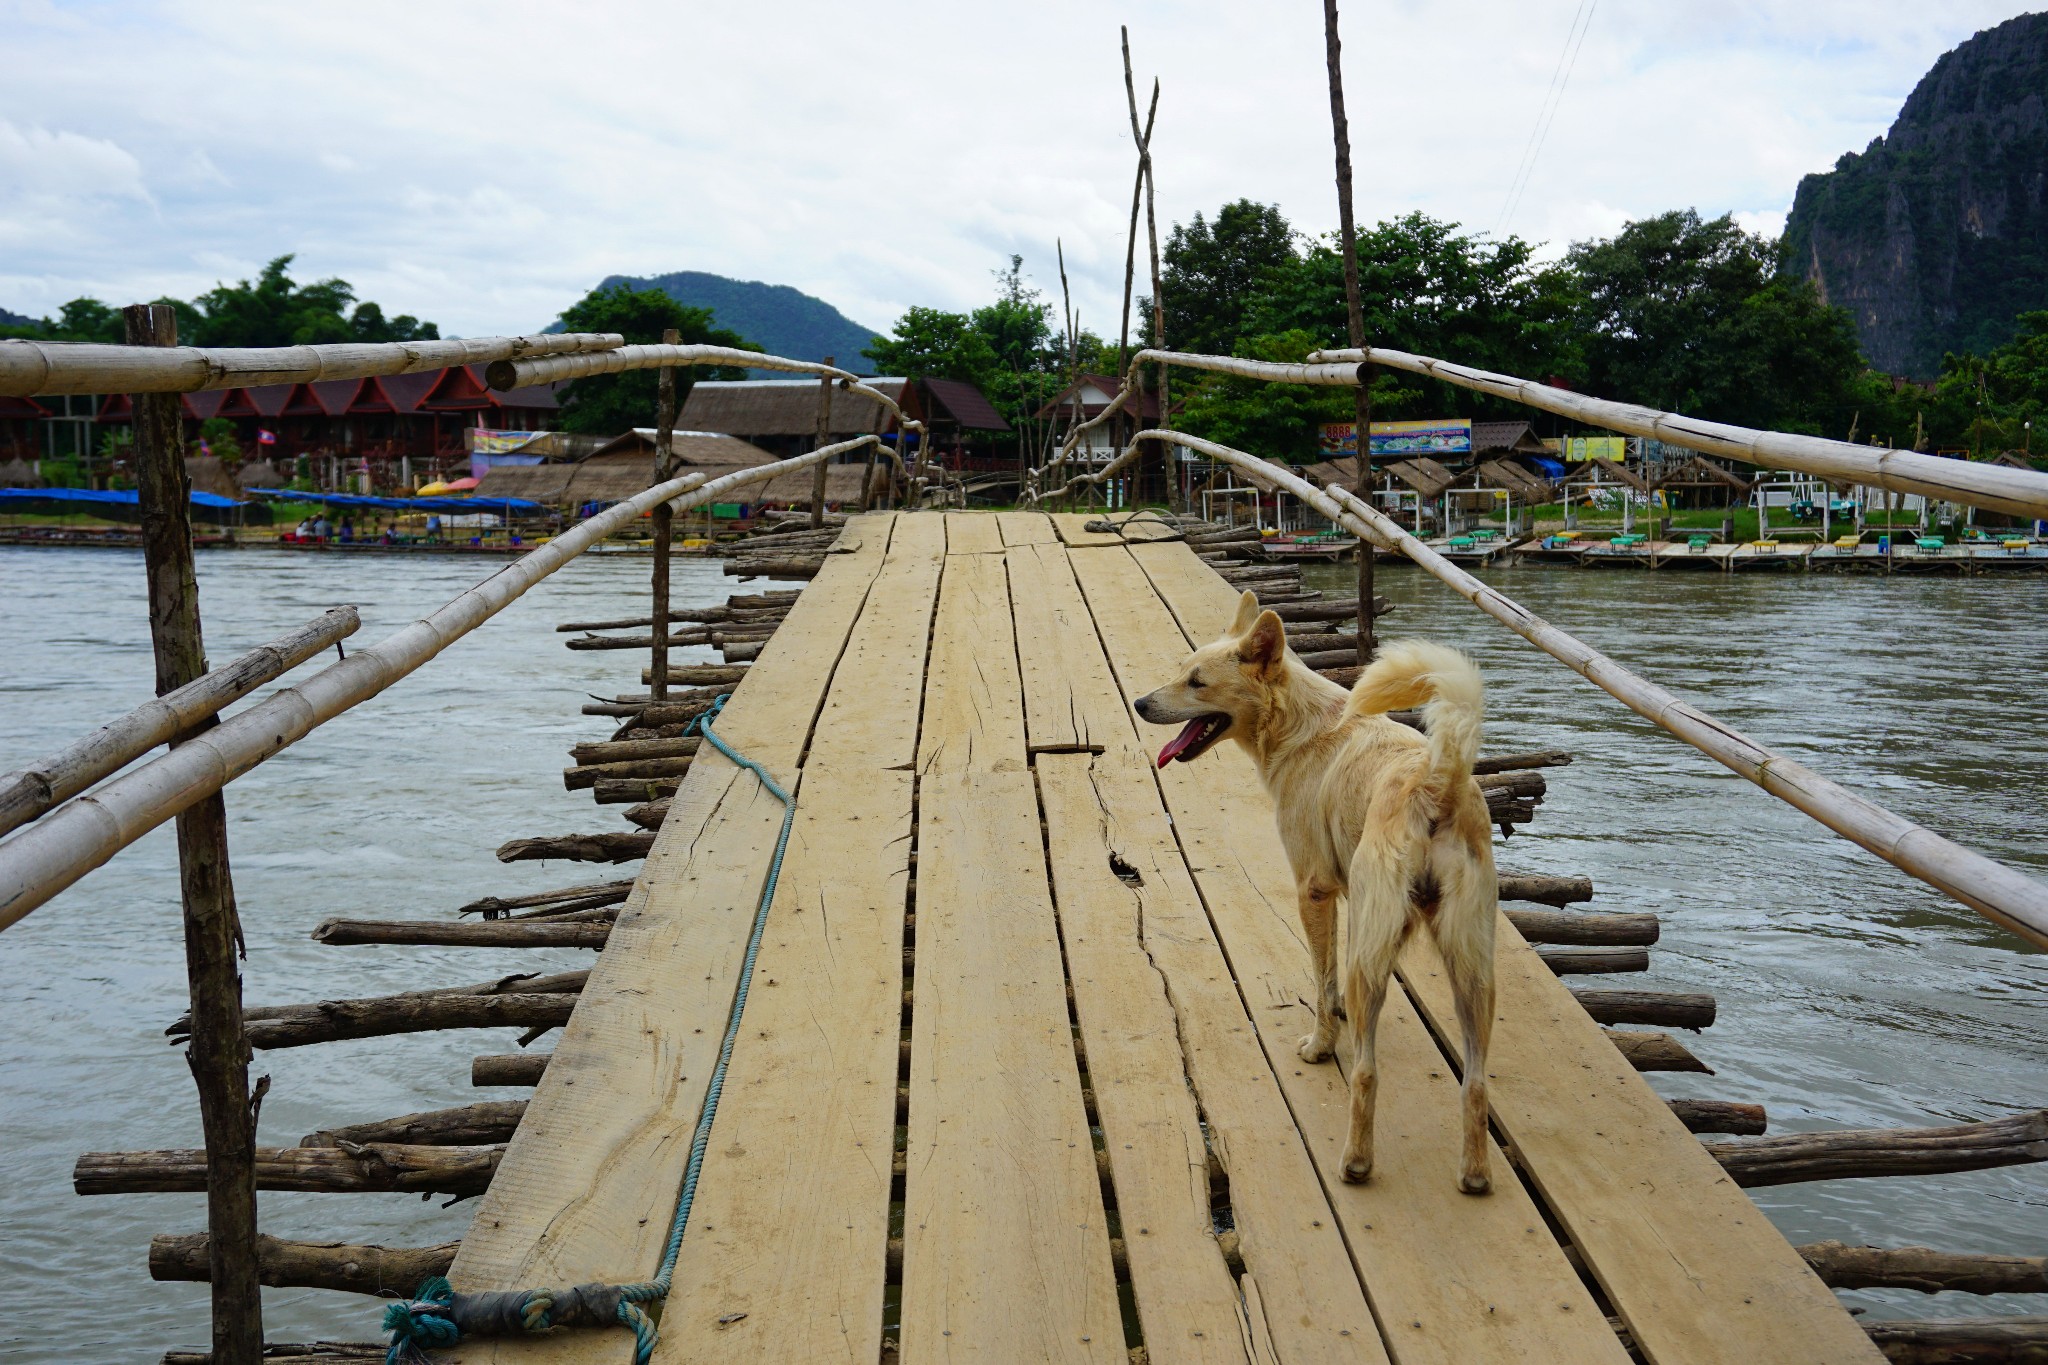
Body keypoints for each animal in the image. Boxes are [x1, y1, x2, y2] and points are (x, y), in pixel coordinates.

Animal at [1130, 593, 1499, 1186]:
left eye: (1197, 682)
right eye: (1181, 672)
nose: (1141, 703)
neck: (1299, 725)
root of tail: (1436, 783)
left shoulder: (1313, 891)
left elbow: (1322, 980)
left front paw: (1321, 1044)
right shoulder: (1348, 900)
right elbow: (1330, 976)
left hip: (1382, 959)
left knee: (1367, 1073)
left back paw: (1355, 1161)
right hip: (1471, 969)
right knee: (1476, 1080)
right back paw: (1475, 1174)